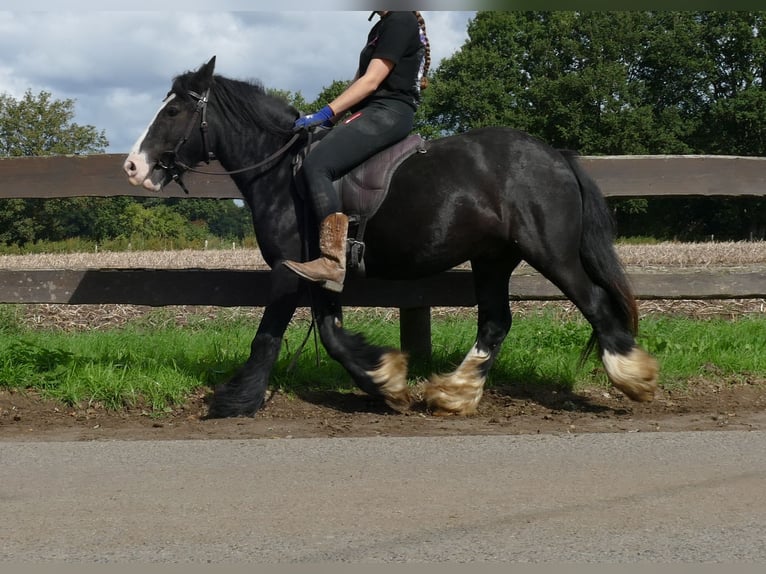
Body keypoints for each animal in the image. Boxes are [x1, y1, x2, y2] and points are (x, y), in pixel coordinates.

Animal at [123, 56, 659, 418]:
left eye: (173, 113)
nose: (132, 167)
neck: (281, 170)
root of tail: (554, 156)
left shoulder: (289, 270)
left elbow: (269, 334)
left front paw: (236, 400)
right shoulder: (321, 273)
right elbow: (332, 335)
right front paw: (387, 381)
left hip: (551, 253)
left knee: (595, 304)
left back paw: (633, 377)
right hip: (492, 259)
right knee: (495, 322)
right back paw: (453, 392)